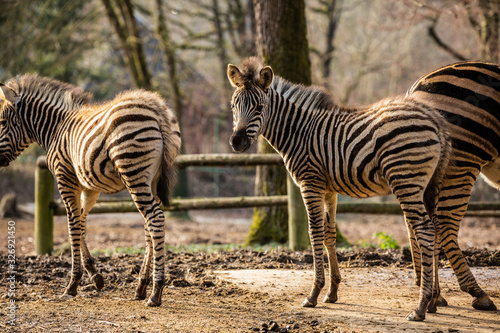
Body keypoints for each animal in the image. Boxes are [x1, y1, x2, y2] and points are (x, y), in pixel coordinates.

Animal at [0, 74, 182, 306]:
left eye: (1, 122)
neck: (56, 128)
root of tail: (156, 108)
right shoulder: (88, 187)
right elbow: (81, 222)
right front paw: (95, 276)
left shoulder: (65, 178)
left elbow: (72, 227)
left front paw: (73, 284)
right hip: (152, 180)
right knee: (149, 225)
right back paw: (141, 286)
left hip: (134, 172)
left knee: (155, 219)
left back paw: (156, 292)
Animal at [229, 57, 452, 322]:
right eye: (233, 106)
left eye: (259, 108)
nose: (236, 142)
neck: (299, 132)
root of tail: (433, 119)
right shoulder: (329, 189)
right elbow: (329, 234)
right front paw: (332, 291)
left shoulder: (310, 183)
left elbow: (314, 232)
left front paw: (313, 294)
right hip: (430, 185)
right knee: (435, 229)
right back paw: (434, 300)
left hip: (406, 180)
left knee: (425, 230)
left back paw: (420, 306)